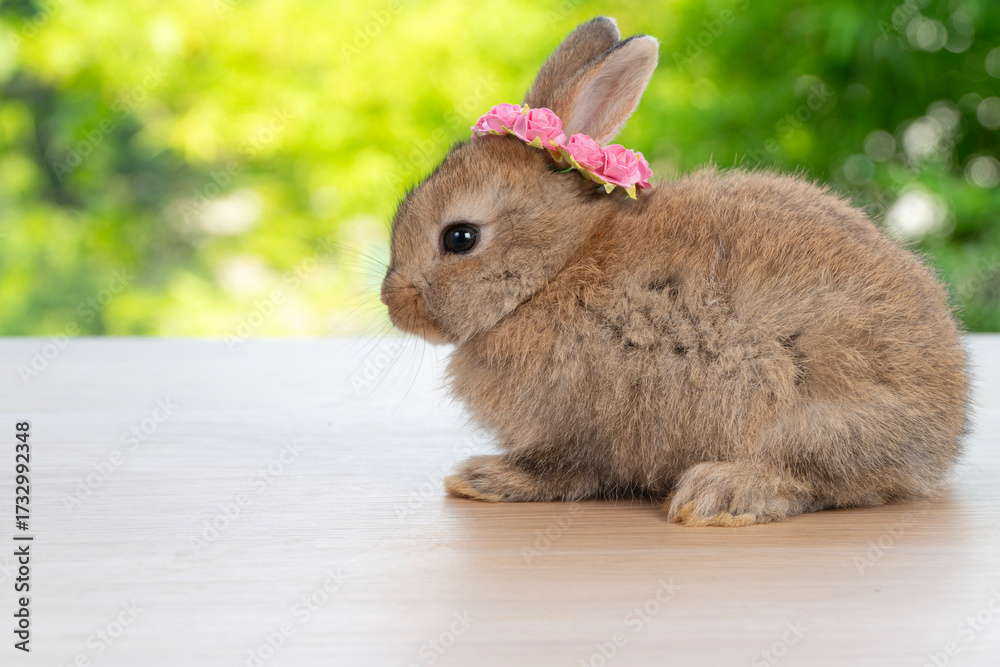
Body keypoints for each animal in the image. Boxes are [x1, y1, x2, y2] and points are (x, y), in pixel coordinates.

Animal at [380, 16, 971, 526]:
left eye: (459, 238)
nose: (393, 304)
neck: (555, 266)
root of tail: (946, 428)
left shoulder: (582, 425)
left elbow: (564, 471)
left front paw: (484, 478)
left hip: (814, 406)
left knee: (809, 477)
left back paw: (718, 494)